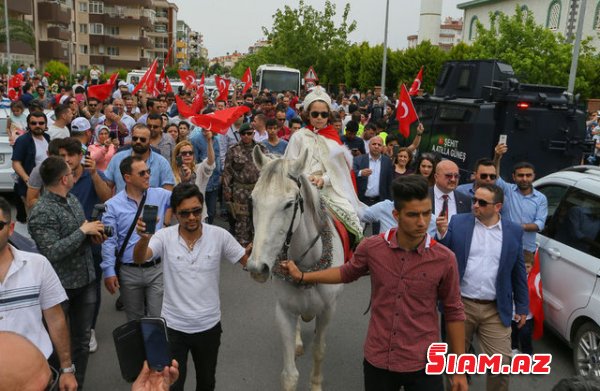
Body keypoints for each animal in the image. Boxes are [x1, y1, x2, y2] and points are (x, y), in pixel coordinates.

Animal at [246, 147, 344, 391]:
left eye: (289, 204)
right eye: (252, 200)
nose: (256, 268)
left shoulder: (328, 310)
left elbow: (319, 350)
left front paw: (316, 384)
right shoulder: (283, 312)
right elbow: (289, 374)